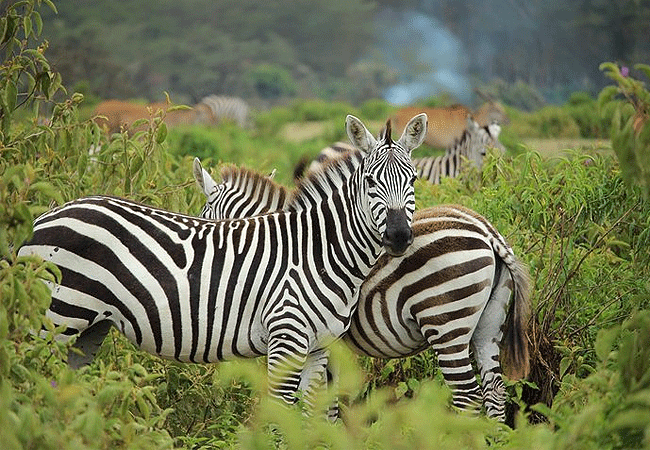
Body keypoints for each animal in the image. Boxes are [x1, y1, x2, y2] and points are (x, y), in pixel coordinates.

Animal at [17, 113, 426, 412]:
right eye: (370, 182)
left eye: (413, 179)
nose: (399, 237)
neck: (320, 250)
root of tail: (44, 217)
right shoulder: (286, 337)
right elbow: (281, 414)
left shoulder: (319, 348)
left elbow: (311, 416)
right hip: (56, 316)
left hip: (86, 328)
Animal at [195, 160, 528, 420]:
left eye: (205, 216)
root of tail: (486, 231)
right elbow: (328, 403)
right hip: (489, 324)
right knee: (495, 392)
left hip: (447, 323)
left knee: (467, 397)